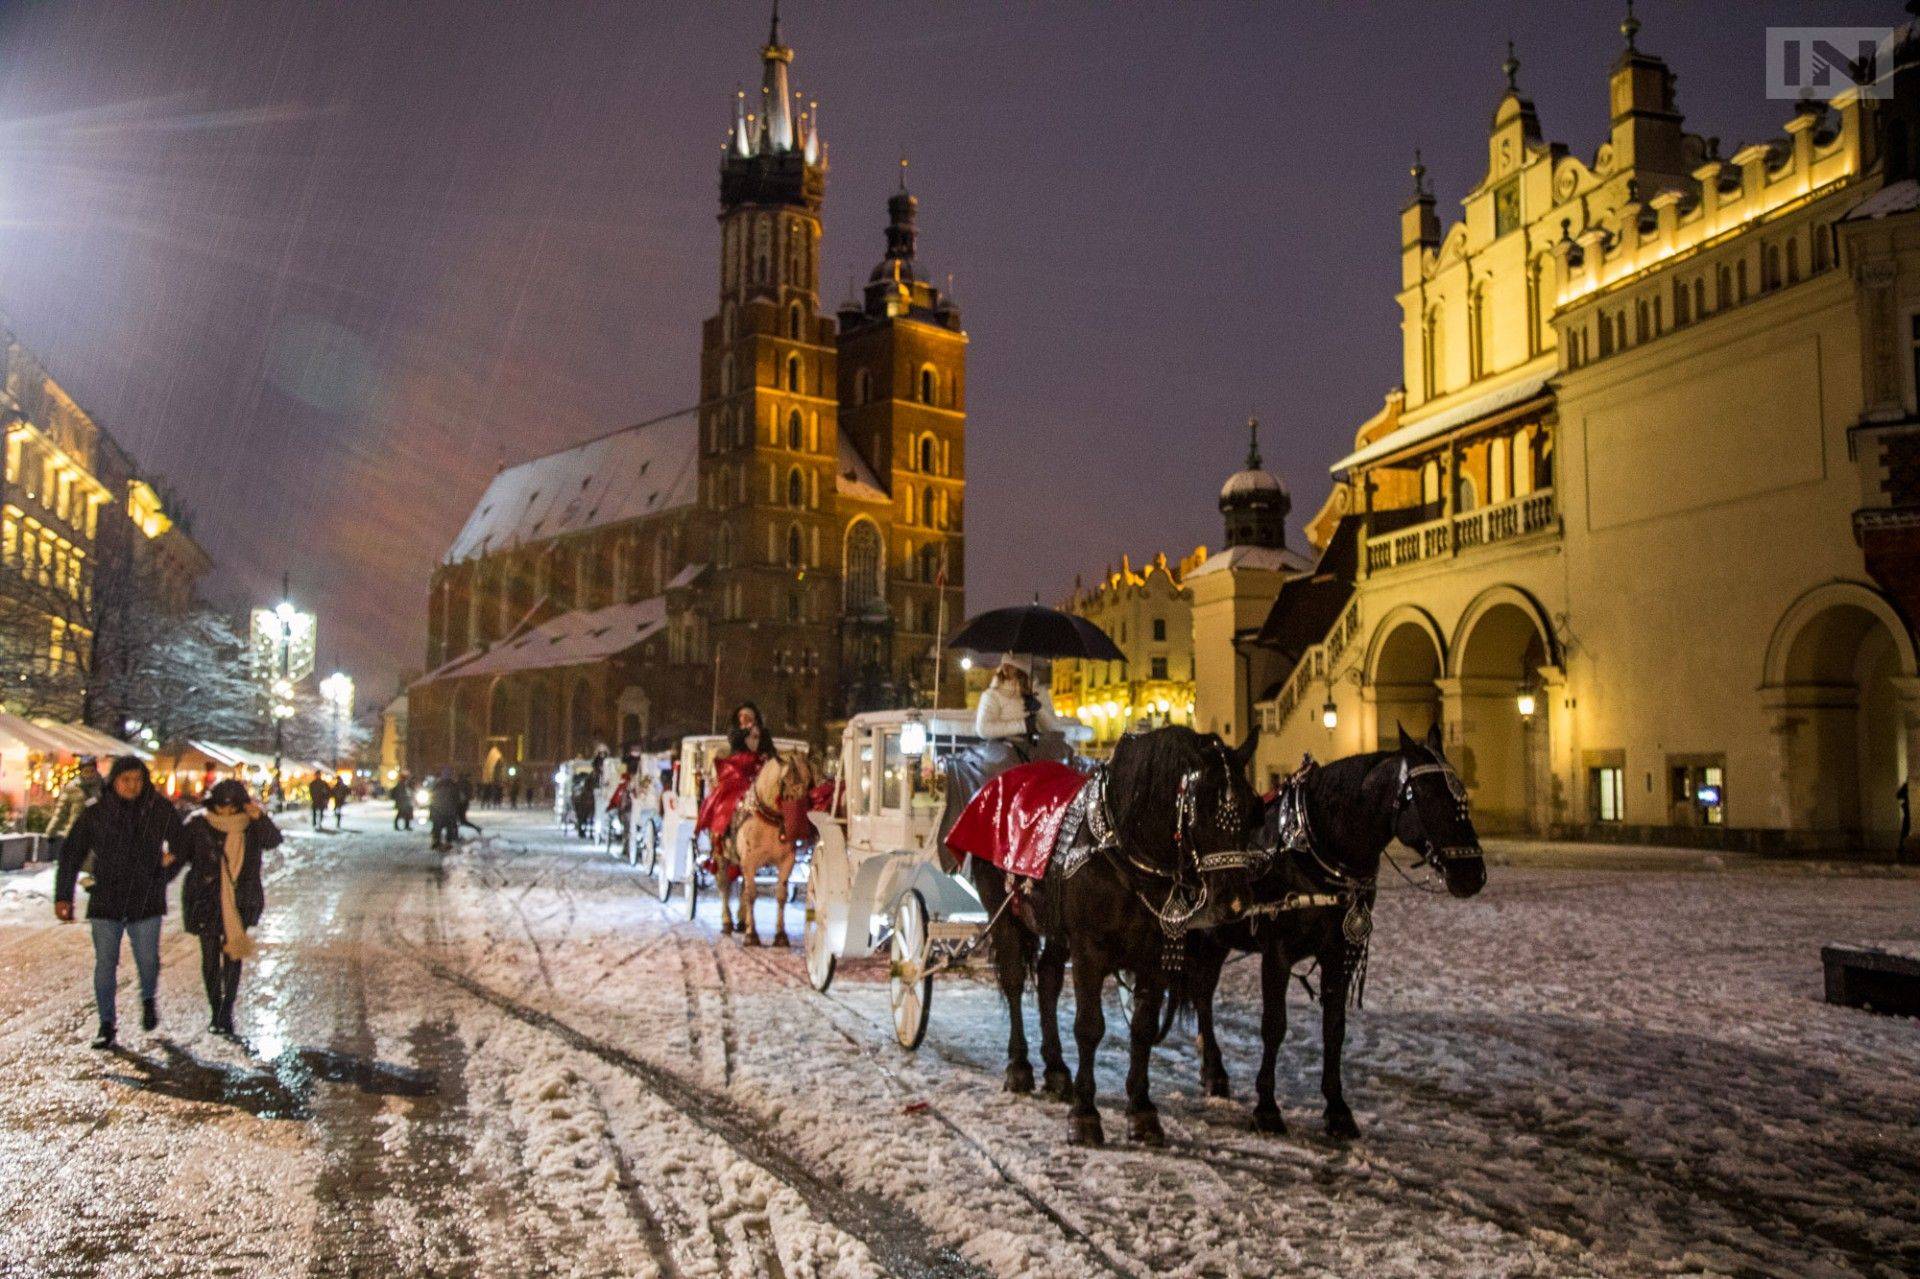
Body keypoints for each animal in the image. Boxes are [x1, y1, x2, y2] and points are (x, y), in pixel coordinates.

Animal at [718, 748, 814, 944]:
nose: (800, 825)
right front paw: (752, 935)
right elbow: (752, 894)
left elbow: (780, 895)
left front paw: (781, 935)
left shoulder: (787, 861)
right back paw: (727, 922)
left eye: (809, 782)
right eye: (786, 779)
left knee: (742, 887)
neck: (769, 819)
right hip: (722, 855)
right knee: (724, 886)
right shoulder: (749, 861)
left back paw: (741, 921)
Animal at [975, 725, 1259, 1144]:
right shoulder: (1089, 950)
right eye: (1202, 808)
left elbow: (1142, 1028)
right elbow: (1089, 1027)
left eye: (1253, 809)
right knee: (1013, 982)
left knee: (1047, 981)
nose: (1235, 903)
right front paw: (1084, 1114)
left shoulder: (1155, 954)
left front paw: (1141, 1111)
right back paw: (1020, 1066)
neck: (1126, 851)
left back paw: (1056, 1069)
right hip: (1004, 913)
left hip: (1057, 930)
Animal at [1182, 725, 1482, 1136]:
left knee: (1202, 992)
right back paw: (1213, 1071)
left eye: (1462, 793)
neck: (1312, 846)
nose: (1474, 875)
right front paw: (1267, 1108)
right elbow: (1274, 1025)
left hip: (1216, 938)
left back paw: (1212, 1071)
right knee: (1199, 992)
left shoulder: (1339, 950)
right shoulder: (1276, 953)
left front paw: (1338, 1109)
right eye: (1428, 796)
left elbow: (1334, 1027)